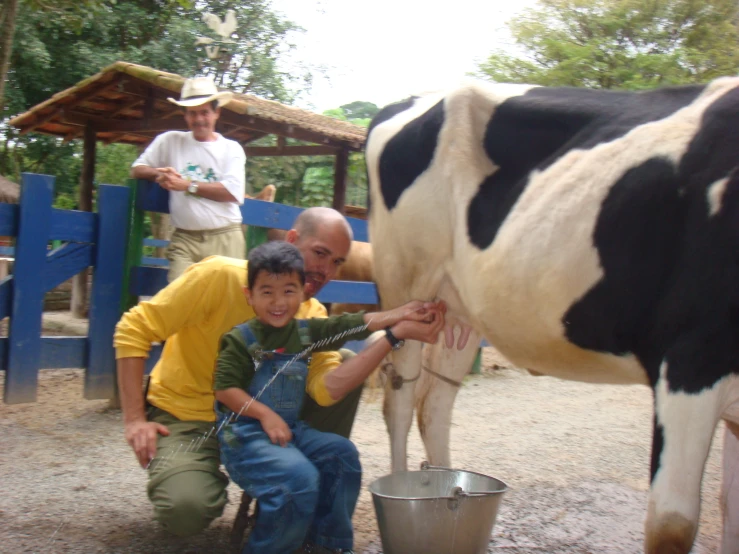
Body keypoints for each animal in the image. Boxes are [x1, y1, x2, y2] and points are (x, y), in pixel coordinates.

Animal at [370, 78, 739, 552]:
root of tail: (413, 100)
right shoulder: (689, 357)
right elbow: (671, 525)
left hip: (456, 308)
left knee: (434, 405)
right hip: (407, 281)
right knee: (399, 397)